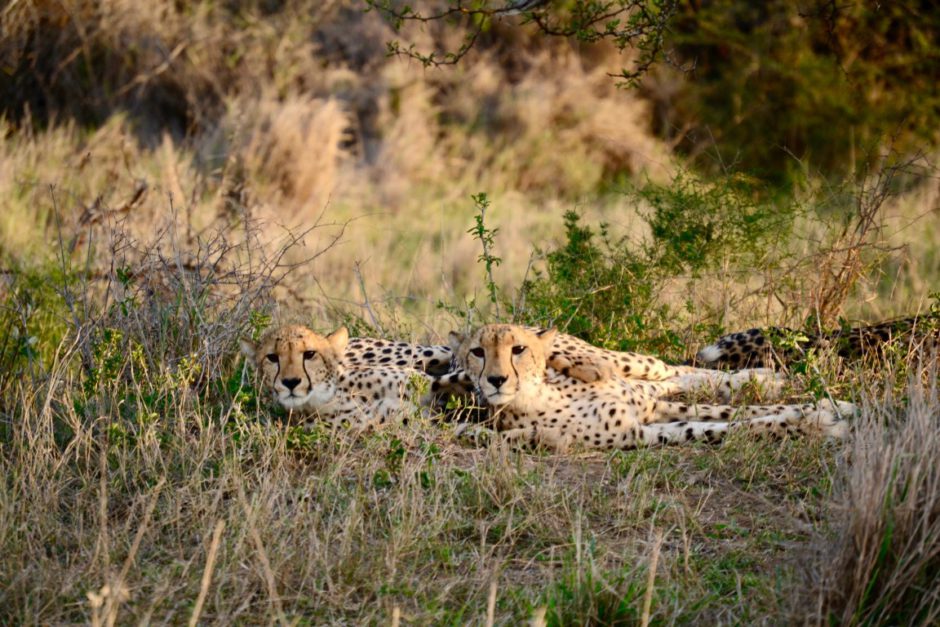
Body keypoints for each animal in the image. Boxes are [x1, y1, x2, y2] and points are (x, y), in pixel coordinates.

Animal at [452, 324, 856, 452]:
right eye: (478, 352)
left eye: (518, 349)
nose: (496, 380)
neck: (540, 393)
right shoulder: (639, 428)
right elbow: (716, 424)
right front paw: (818, 421)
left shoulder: (644, 408)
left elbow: (732, 412)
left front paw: (825, 411)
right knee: (676, 381)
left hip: (628, 364)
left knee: (674, 370)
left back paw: (764, 379)